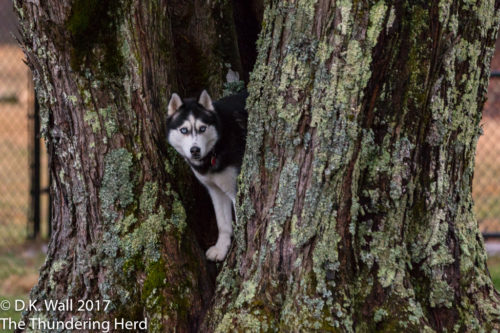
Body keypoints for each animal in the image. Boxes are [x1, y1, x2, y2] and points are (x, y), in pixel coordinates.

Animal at [167, 89, 247, 260]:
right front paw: (221, 248)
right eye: (184, 130)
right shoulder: (215, 190)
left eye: (202, 128)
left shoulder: (235, 190)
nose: (195, 150)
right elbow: (223, 223)